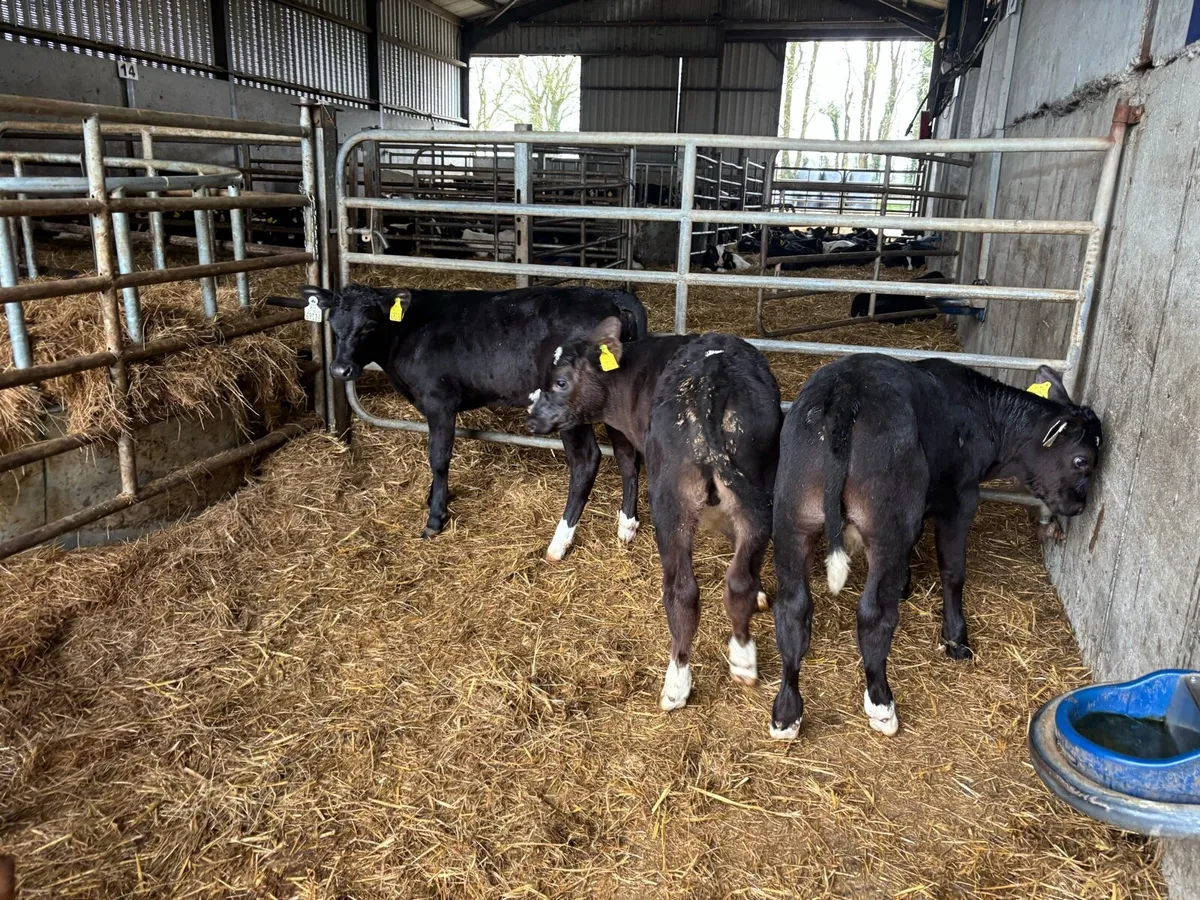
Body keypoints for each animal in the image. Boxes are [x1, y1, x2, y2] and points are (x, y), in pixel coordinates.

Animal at [305, 283, 648, 558]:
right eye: (333, 323)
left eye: (370, 324)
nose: (340, 369)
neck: (410, 332)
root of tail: (609, 295)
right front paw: (433, 498)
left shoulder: (439, 401)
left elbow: (439, 457)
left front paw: (435, 517)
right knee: (627, 455)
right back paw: (626, 526)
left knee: (586, 460)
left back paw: (559, 543)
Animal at [527, 324, 782, 711]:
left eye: (559, 382)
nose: (531, 419)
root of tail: (713, 384)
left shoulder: (624, 430)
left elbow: (627, 462)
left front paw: (626, 525)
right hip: (757, 488)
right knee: (739, 579)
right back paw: (743, 658)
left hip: (670, 501)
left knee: (682, 592)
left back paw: (677, 682)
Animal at [769, 356, 1102, 740]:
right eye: (1082, 460)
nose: (1078, 506)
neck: (982, 413)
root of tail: (845, 390)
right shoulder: (960, 499)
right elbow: (953, 572)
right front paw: (956, 638)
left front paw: (905, 584)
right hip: (887, 522)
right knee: (873, 615)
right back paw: (882, 704)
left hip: (791, 515)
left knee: (792, 609)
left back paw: (786, 713)